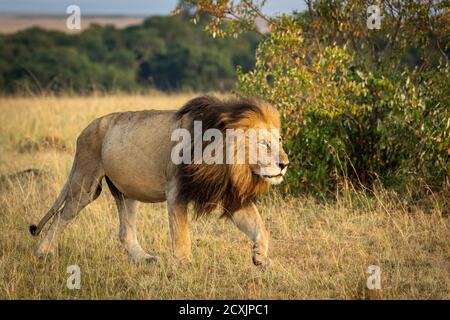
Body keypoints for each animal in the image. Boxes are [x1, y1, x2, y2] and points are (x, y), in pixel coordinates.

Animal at [29, 96, 288, 266]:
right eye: (263, 143)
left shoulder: (231, 195)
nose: (285, 164)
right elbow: (181, 235)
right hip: (86, 181)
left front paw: (260, 256)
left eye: (279, 141)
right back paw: (43, 252)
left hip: (126, 191)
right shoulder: (176, 191)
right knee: (62, 216)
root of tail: (85, 130)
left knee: (125, 233)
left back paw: (144, 259)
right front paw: (184, 265)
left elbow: (259, 226)